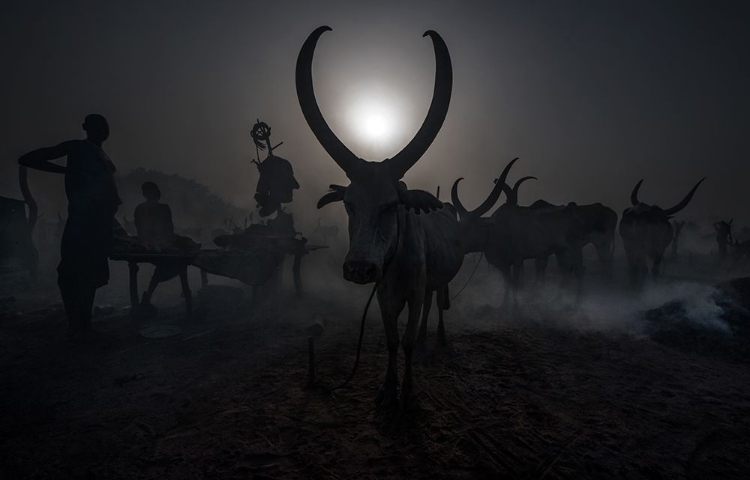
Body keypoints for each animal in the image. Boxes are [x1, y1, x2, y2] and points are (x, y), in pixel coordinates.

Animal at [298, 27, 464, 408]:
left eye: (391, 205)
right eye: (349, 204)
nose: (360, 269)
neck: (396, 259)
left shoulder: (414, 291)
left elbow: (406, 340)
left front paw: (409, 391)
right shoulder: (384, 295)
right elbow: (391, 340)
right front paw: (388, 389)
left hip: (437, 282)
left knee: (436, 306)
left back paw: (437, 340)